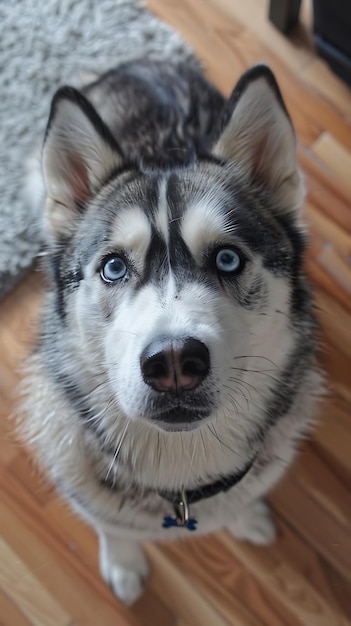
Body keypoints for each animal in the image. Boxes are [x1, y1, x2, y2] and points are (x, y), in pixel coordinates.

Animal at [20, 58, 320, 604]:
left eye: (228, 259)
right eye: (114, 267)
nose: (175, 362)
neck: (181, 477)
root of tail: (144, 63)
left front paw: (246, 517)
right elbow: (109, 523)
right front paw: (123, 562)